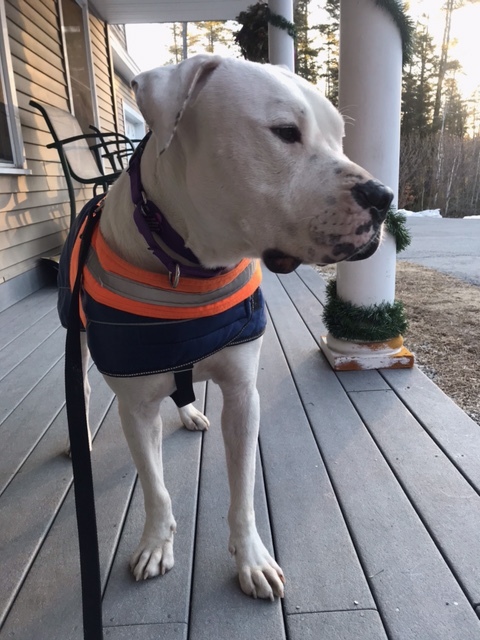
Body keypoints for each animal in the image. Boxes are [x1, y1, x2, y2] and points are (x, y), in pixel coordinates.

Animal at [62, 53, 394, 600]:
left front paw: (251, 559)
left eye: (340, 137)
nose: (383, 194)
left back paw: (191, 413)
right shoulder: (136, 407)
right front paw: (156, 543)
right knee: (81, 390)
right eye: (285, 132)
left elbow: (243, 491)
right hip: (78, 336)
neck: (188, 266)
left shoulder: (242, 396)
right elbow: (154, 487)